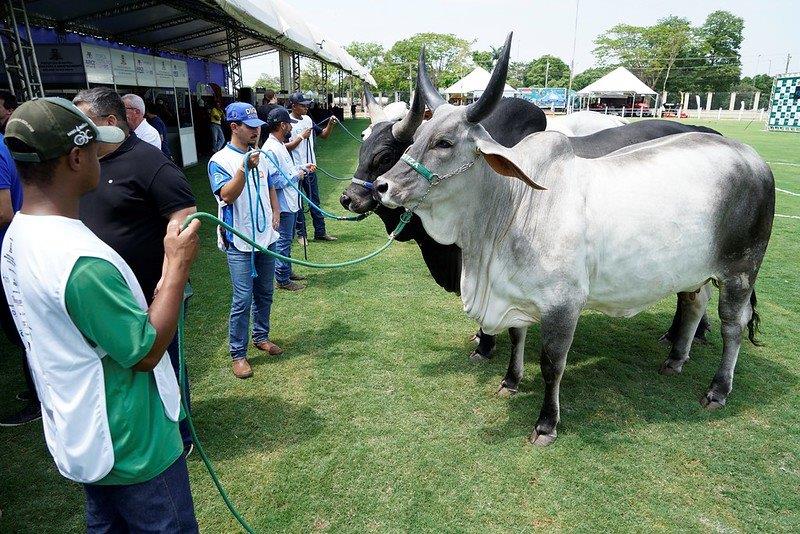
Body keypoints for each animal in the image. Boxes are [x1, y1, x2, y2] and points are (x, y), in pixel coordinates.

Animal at [376, 31, 776, 446]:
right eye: (415, 138)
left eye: (444, 143)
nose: (381, 186)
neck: (513, 204)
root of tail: (753, 158)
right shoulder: (515, 290)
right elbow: (517, 337)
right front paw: (510, 381)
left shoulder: (563, 303)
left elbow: (552, 363)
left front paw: (546, 423)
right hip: (693, 270)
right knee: (695, 304)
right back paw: (675, 360)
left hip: (741, 271)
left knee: (733, 324)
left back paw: (718, 389)